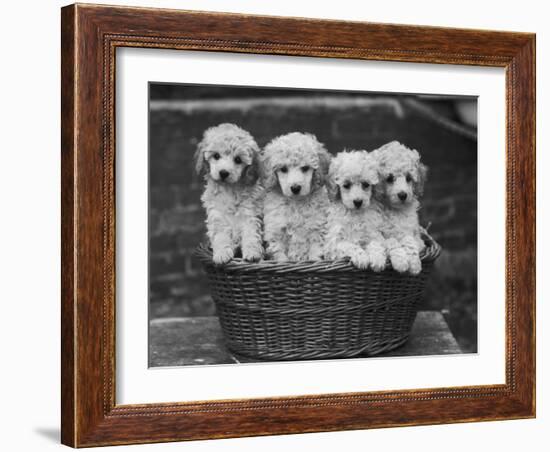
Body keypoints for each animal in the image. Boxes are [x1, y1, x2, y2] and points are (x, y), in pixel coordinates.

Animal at [195, 123, 264, 264]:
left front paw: (253, 253)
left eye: (238, 159)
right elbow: (220, 236)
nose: (223, 172)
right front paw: (222, 254)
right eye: (216, 156)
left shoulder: (250, 213)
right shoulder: (217, 215)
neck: (230, 189)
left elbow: (251, 234)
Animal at [262, 131, 334, 262]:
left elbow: (315, 250)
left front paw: (313, 260)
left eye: (305, 168)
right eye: (283, 169)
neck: (296, 202)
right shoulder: (276, 229)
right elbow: (279, 254)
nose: (295, 188)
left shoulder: (316, 227)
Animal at [370, 141, 432, 274]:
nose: (403, 195)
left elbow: (409, 241)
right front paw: (401, 262)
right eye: (389, 178)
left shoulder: (414, 235)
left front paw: (414, 264)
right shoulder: (376, 233)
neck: (394, 210)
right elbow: (391, 241)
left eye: (409, 178)